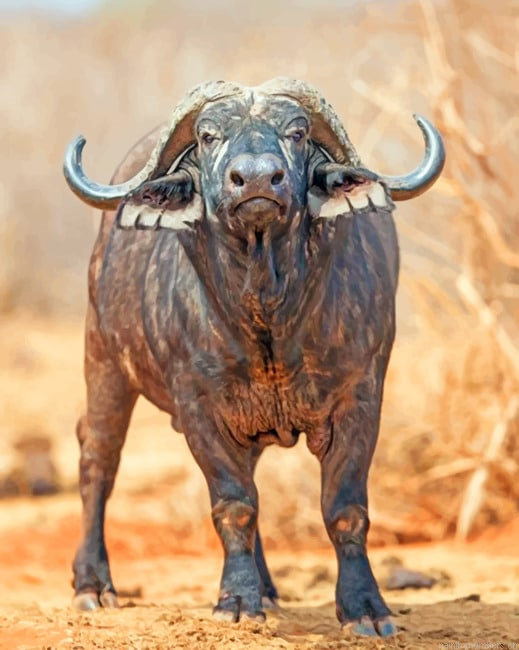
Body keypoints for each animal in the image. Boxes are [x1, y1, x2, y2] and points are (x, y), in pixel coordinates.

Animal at [63, 78, 444, 637]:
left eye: (298, 132)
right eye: (207, 135)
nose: (258, 179)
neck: (267, 312)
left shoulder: (361, 397)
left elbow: (344, 507)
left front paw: (365, 607)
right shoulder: (199, 407)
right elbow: (235, 503)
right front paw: (237, 600)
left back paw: (267, 587)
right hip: (105, 360)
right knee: (98, 458)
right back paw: (93, 585)